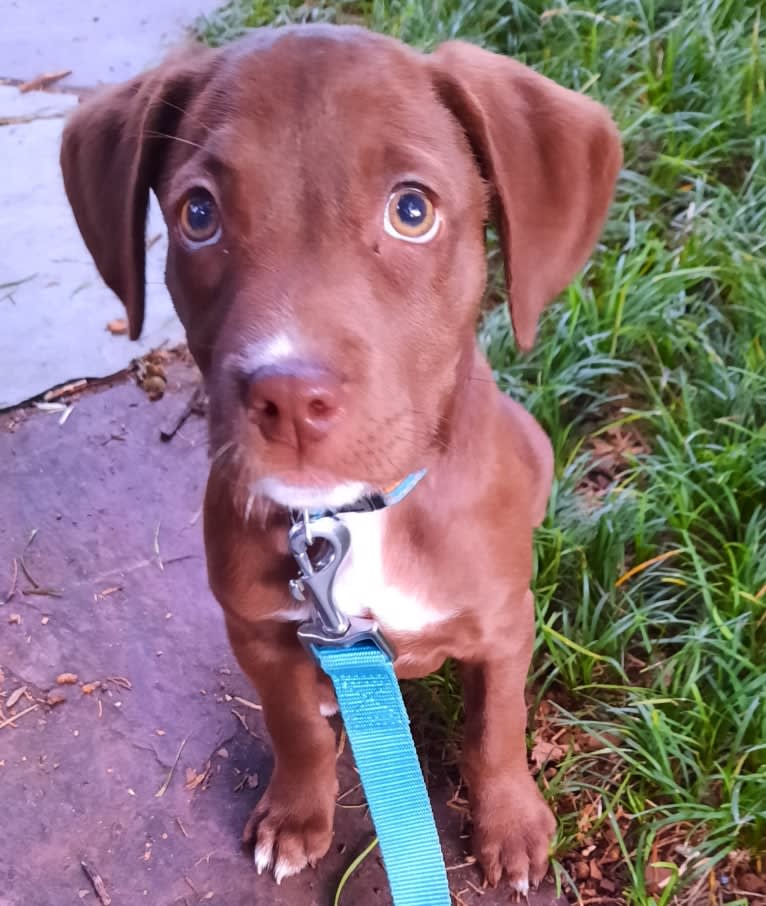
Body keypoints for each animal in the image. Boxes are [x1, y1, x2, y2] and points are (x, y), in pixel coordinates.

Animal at [61, 24, 624, 892]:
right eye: (198, 214)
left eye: (412, 211)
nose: (289, 398)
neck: (359, 517)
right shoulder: (255, 628)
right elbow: (292, 725)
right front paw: (298, 815)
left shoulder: (504, 623)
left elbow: (497, 726)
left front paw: (512, 823)